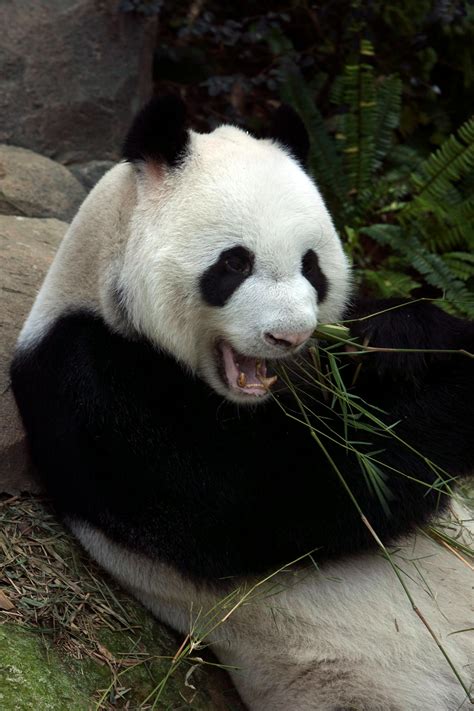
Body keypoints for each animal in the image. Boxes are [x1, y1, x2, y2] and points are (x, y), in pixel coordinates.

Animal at [9, 96, 472, 711]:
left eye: (312, 265)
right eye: (234, 264)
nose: (290, 336)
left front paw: (405, 335)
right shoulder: (88, 385)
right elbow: (283, 491)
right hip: (361, 686)